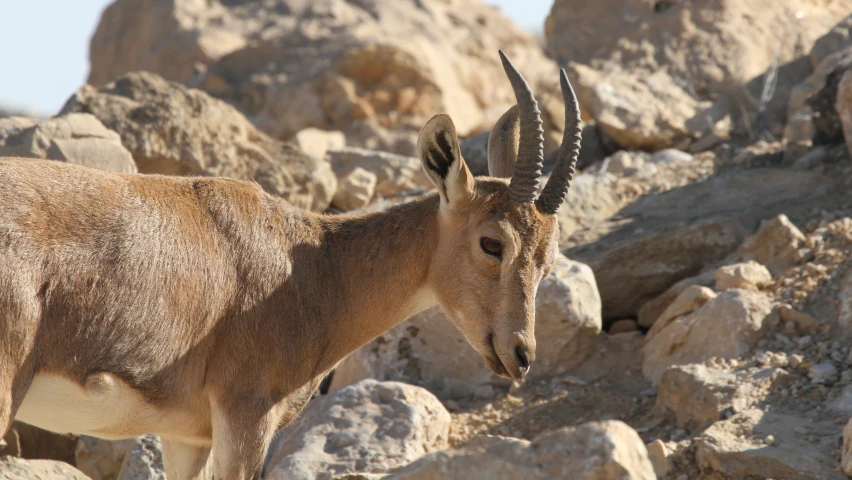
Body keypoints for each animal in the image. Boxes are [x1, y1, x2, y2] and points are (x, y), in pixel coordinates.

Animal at [0, 50, 584, 478]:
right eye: (492, 243)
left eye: (549, 258)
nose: (520, 355)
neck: (309, 267)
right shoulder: (247, 418)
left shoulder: (186, 437)